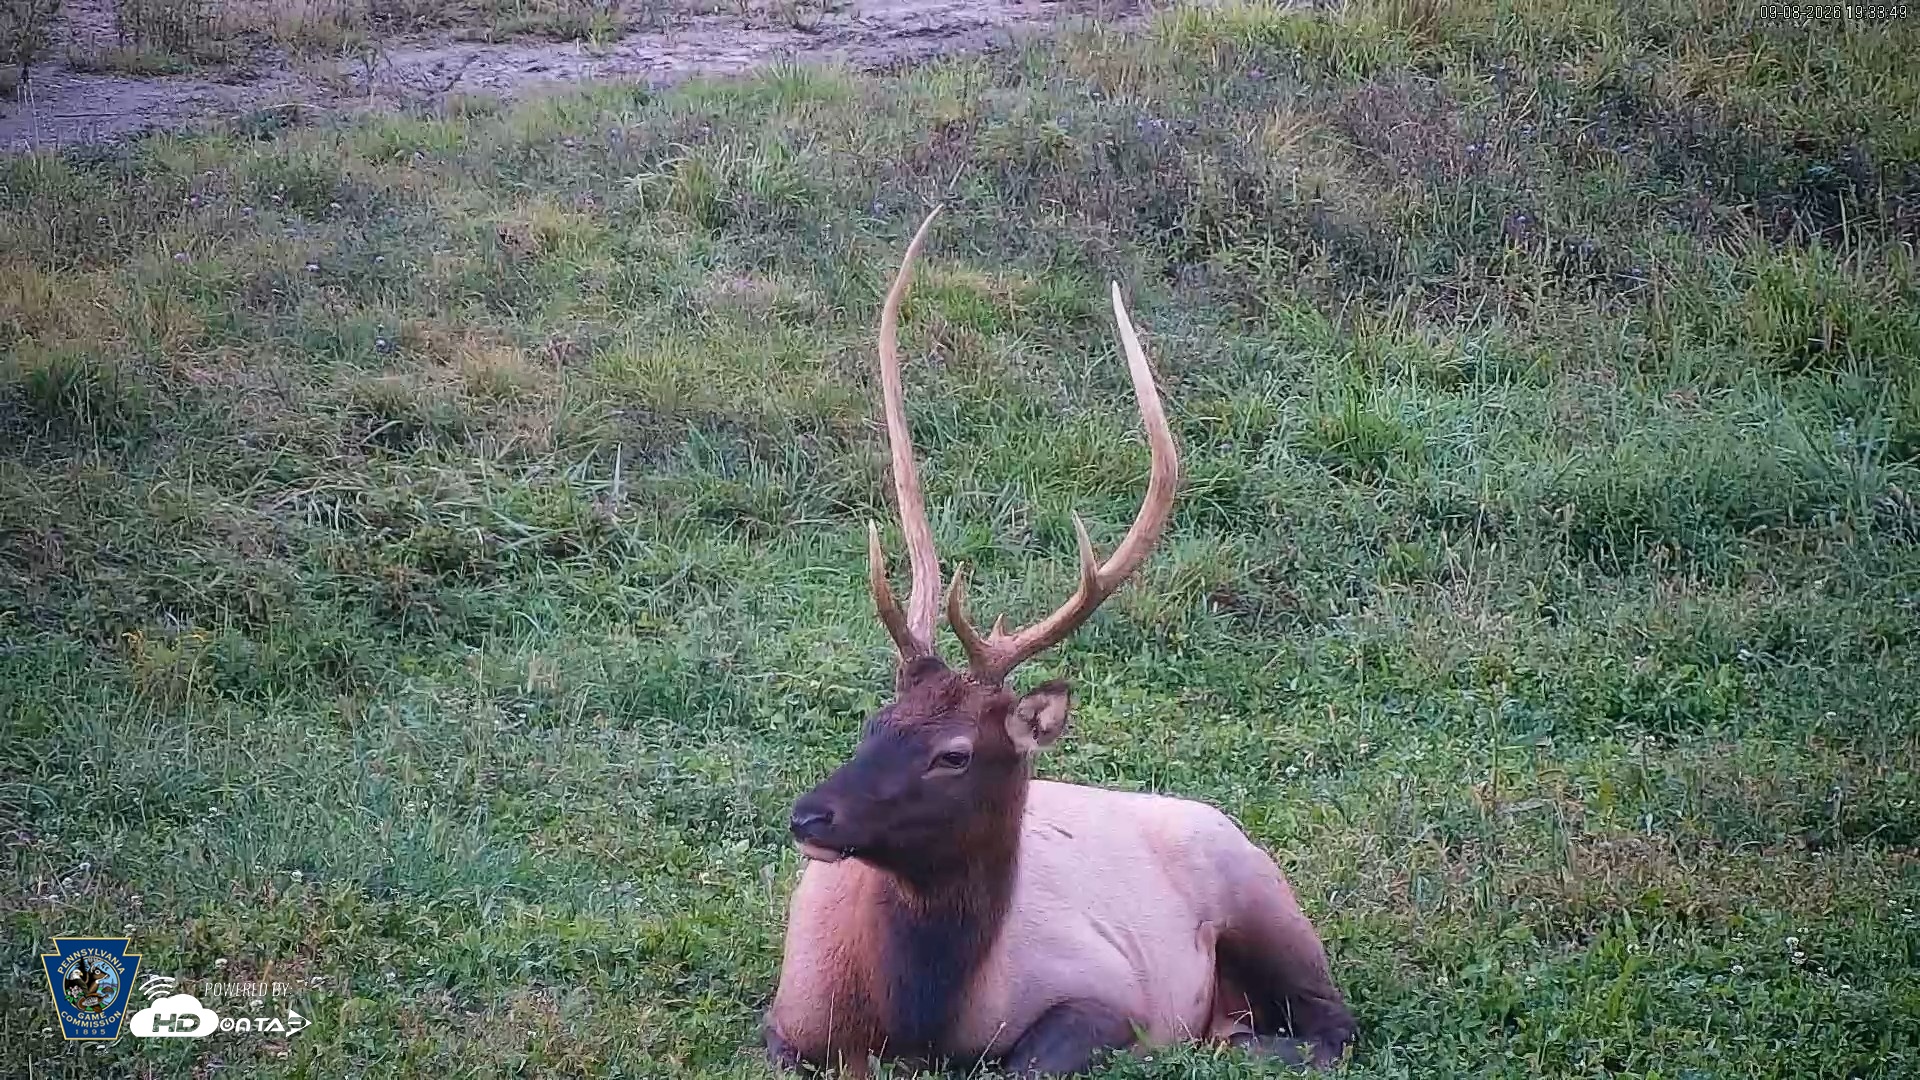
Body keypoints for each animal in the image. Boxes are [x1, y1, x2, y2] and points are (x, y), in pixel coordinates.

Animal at [764, 205, 1357, 1078]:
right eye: (873, 723)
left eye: (954, 754)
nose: (811, 816)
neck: (915, 1021)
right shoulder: (785, 1021)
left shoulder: (1106, 992)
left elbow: (1034, 1058)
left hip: (1264, 894)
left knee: (1332, 1025)